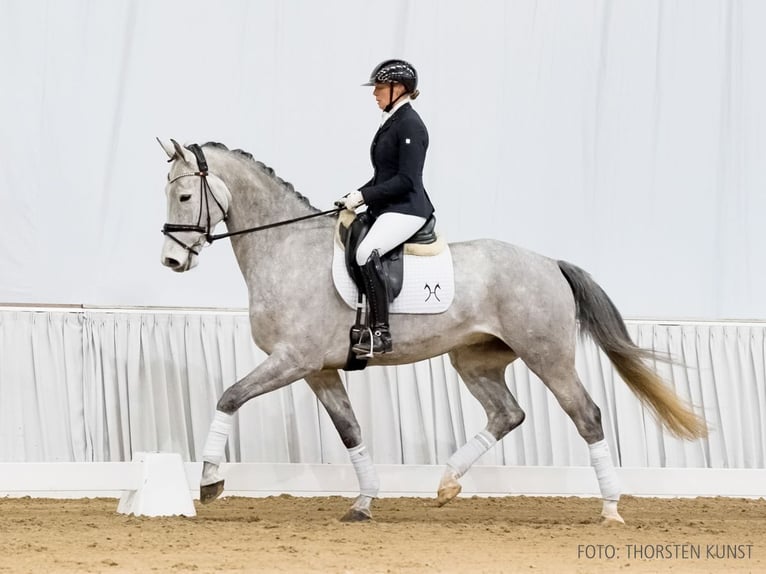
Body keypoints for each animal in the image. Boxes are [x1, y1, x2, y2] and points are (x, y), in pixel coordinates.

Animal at [156, 140, 708, 528]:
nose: (171, 261)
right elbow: (351, 431)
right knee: (508, 413)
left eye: (183, 195)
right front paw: (364, 503)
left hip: (547, 356)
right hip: (474, 359)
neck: (286, 248)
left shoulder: (293, 359)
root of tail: (549, 262)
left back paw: (611, 509)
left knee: (586, 415)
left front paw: (210, 481)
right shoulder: (318, 369)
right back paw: (445, 483)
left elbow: (229, 396)